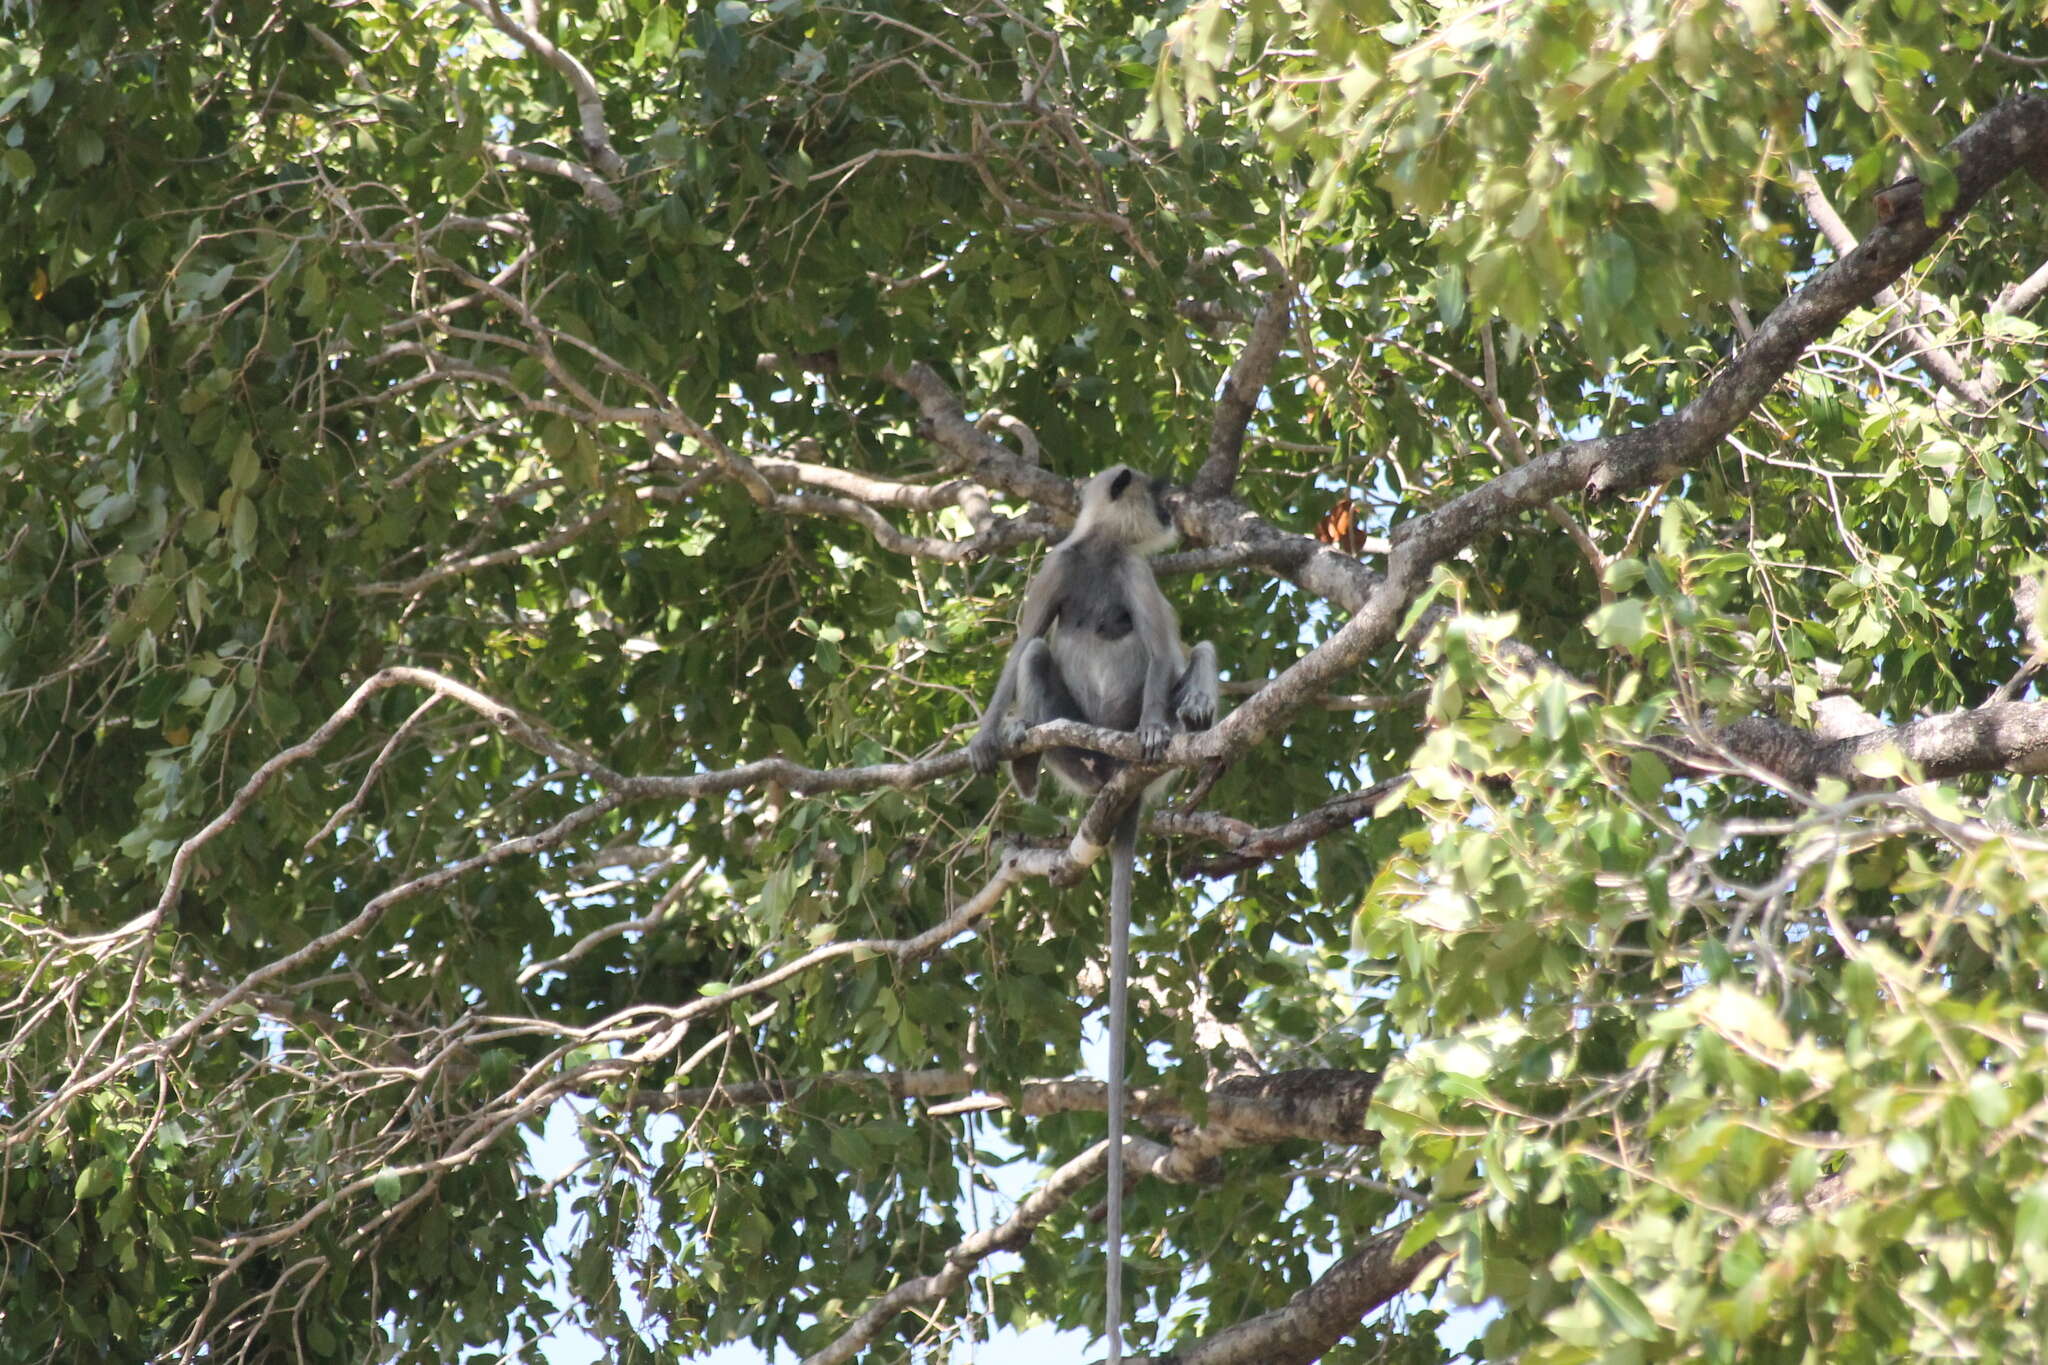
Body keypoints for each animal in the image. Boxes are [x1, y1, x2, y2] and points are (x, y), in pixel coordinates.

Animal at [970, 464, 1212, 1358]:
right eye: (1162, 490)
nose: (1177, 508)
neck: (1105, 552)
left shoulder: (1137, 572)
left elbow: (1165, 643)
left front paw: (1167, 714)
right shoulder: (1057, 564)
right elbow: (1022, 642)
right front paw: (986, 737)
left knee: (1190, 655)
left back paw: (1175, 722)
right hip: (1076, 751)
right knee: (1042, 655)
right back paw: (1030, 764)